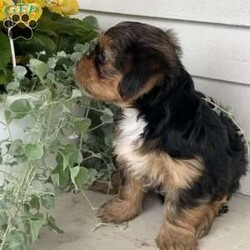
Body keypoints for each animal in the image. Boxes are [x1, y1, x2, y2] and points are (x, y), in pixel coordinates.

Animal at [75, 22, 247, 250]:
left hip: (232, 168)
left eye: (102, 56)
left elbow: (182, 208)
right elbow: (129, 187)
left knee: (220, 197)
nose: (77, 63)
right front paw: (121, 210)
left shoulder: (189, 173)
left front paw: (176, 237)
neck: (146, 112)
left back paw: (204, 219)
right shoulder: (130, 156)